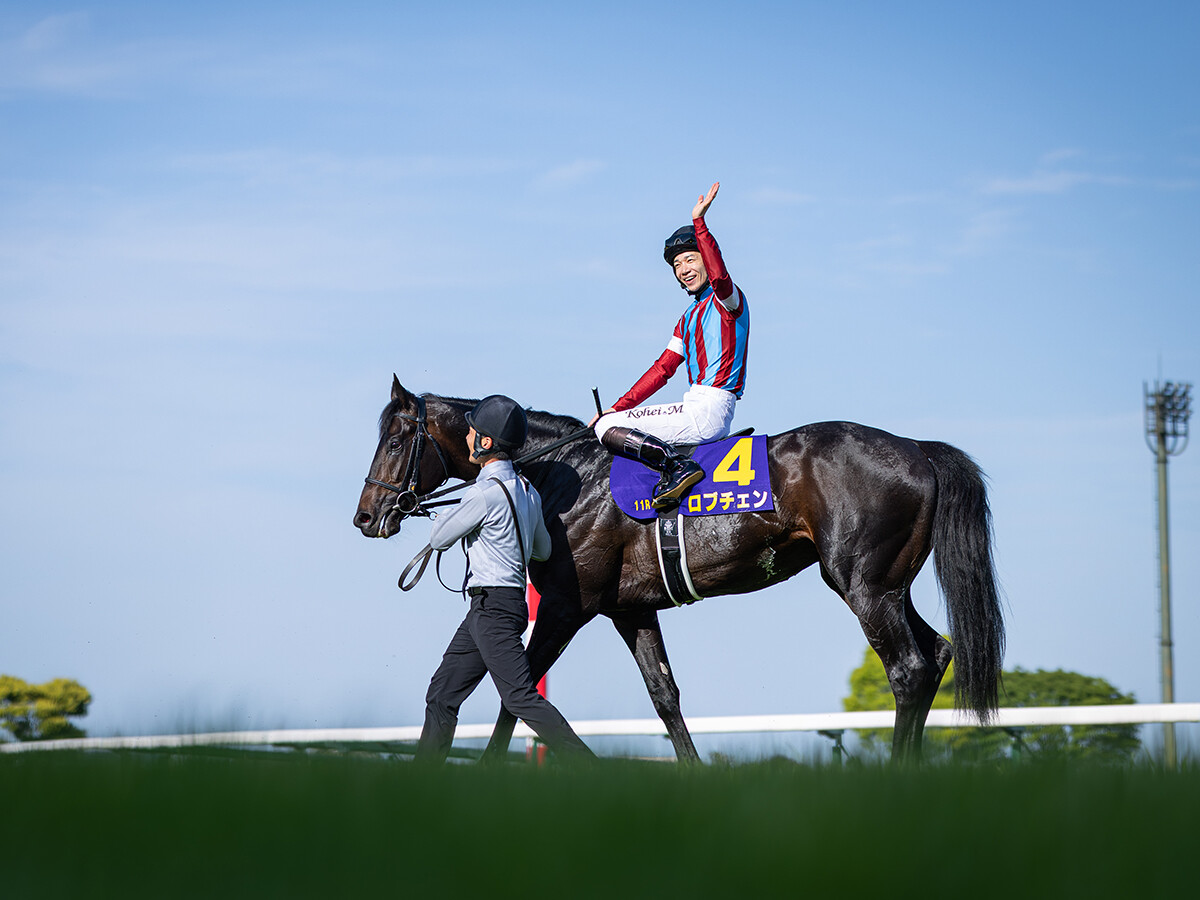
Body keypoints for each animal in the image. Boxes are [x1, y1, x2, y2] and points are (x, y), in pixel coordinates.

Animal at [354, 377, 1004, 763]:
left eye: (395, 441)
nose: (366, 516)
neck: (565, 475)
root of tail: (918, 448)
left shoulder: (566, 608)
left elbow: (518, 698)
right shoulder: (631, 609)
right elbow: (665, 697)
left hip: (861, 584)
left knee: (909, 670)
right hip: (889, 585)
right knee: (936, 655)